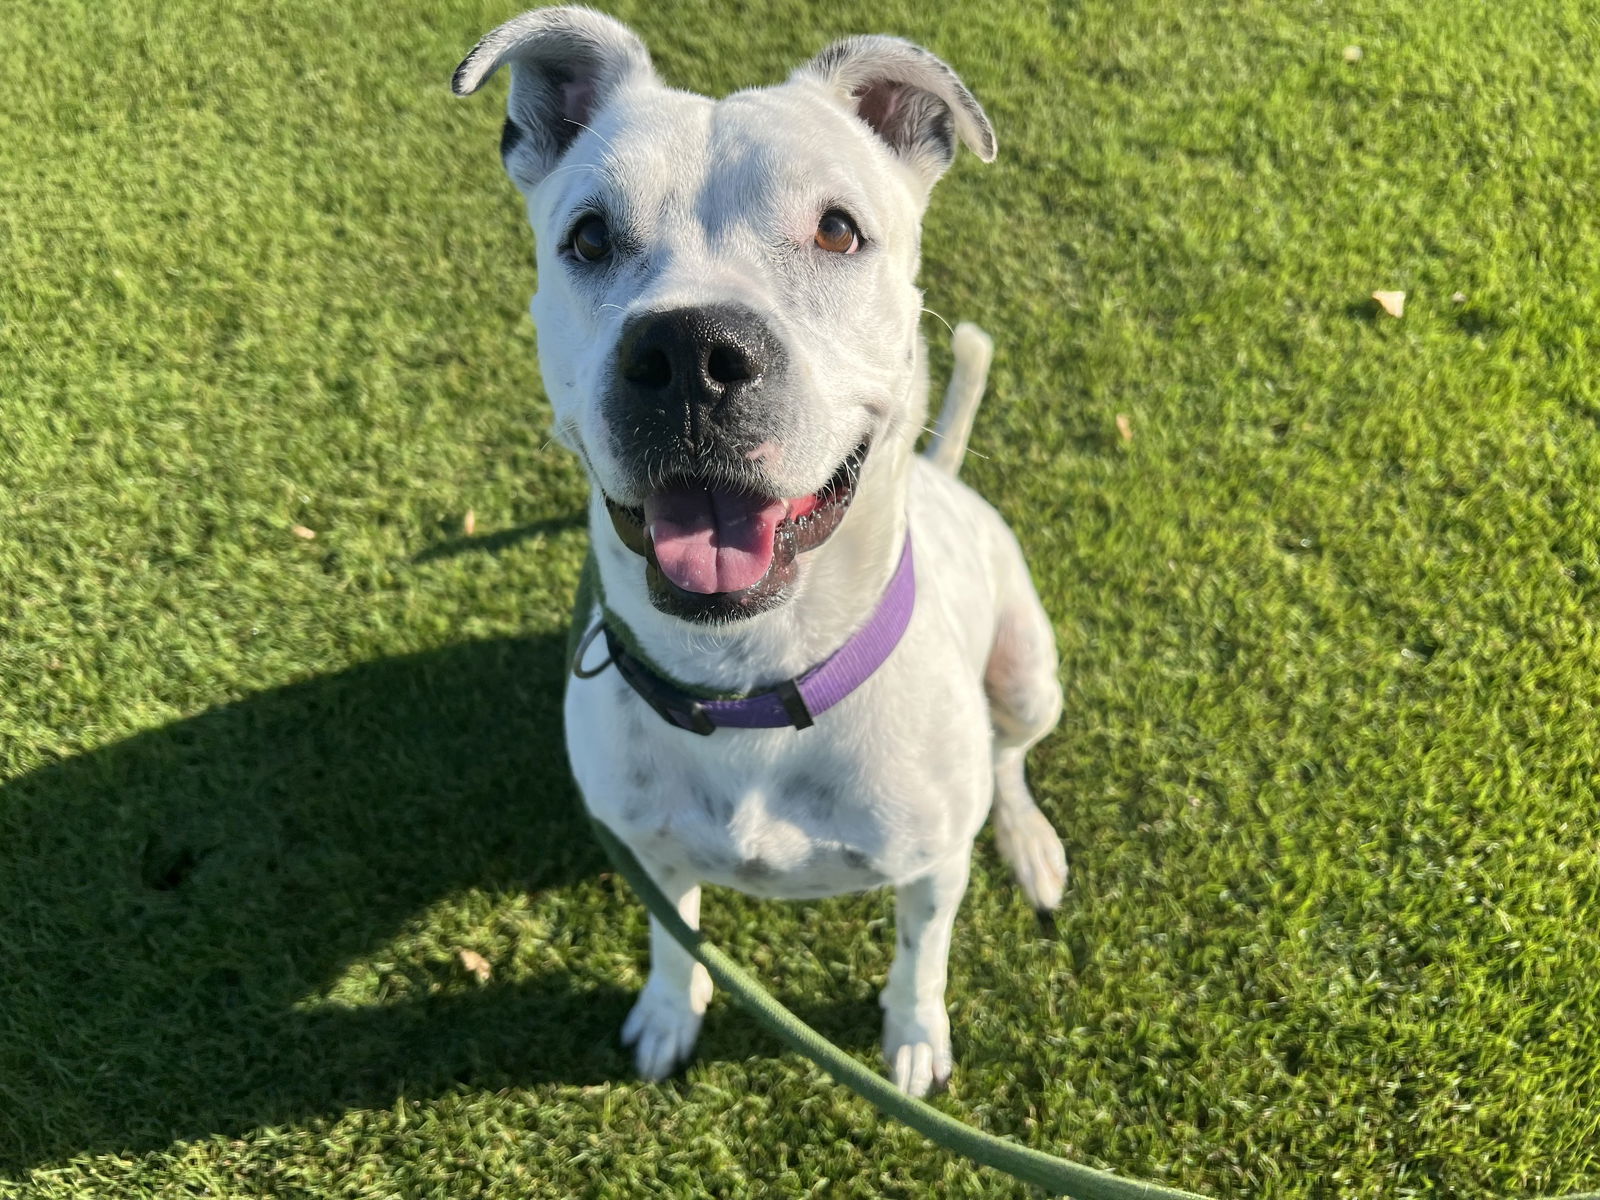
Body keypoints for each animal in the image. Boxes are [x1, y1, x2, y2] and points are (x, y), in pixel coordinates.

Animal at [451, 9, 1068, 1100]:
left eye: (837, 229)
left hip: (1029, 670)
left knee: (1010, 756)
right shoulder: (649, 855)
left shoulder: (931, 869)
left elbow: (923, 955)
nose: (689, 356)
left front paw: (914, 1036)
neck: (751, 678)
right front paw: (669, 1013)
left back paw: (1029, 841)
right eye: (589, 236)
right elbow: (674, 940)